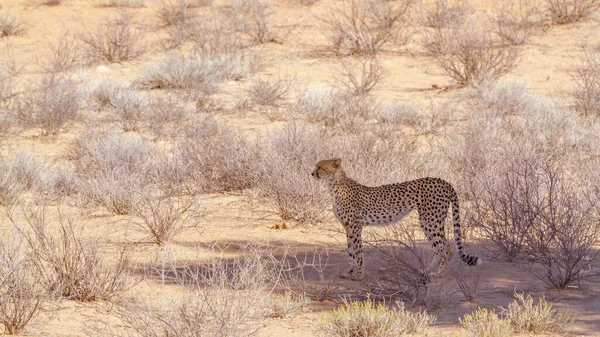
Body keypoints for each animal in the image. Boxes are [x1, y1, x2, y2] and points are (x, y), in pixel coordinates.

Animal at [312, 159, 480, 280]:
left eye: (319, 167)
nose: (312, 173)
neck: (334, 184)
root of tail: (444, 181)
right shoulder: (347, 227)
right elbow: (350, 252)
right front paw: (348, 272)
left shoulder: (355, 226)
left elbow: (358, 252)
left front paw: (359, 275)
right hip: (426, 222)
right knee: (438, 248)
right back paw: (427, 271)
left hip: (431, 221)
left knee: (447, 248)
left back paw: (440, 274)